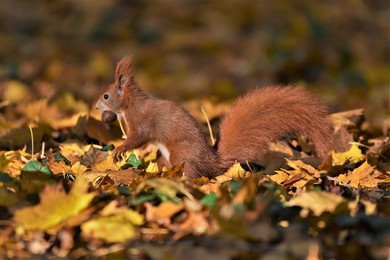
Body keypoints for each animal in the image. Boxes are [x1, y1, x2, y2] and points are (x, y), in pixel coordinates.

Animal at [96, 55, 334, 179]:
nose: (97, 106)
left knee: (189, 173)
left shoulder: (140, 121)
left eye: (106, 95)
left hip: (182, 154)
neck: (131, 105)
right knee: (164, 161)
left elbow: (137, 138)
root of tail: (210, 162)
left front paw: (119, 150)